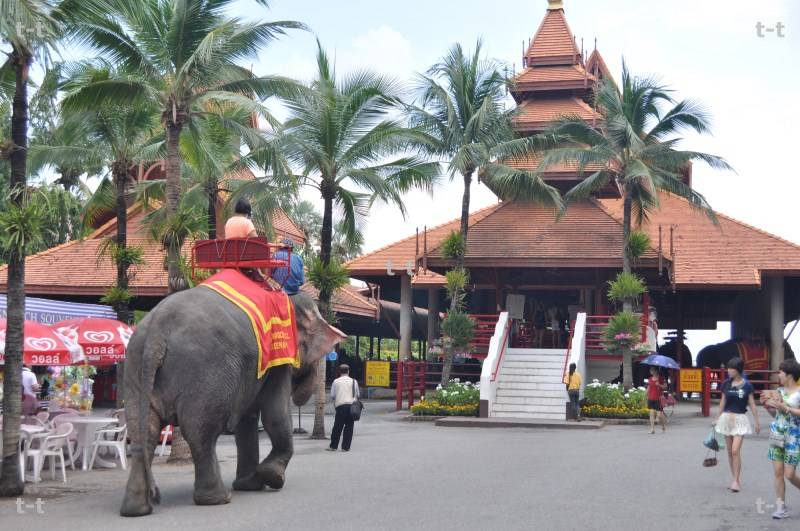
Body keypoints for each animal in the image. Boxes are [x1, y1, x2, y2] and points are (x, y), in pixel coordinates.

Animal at [120, 288, 346, 516]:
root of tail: (157, 332)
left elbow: (247, 420)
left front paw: (249, 485)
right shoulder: (277, 361)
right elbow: (274, 414)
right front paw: (272, 477)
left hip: (135, 367)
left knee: (143, 433)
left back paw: (136, 510)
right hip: (207, 374)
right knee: (200, 433)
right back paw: (218, 499)